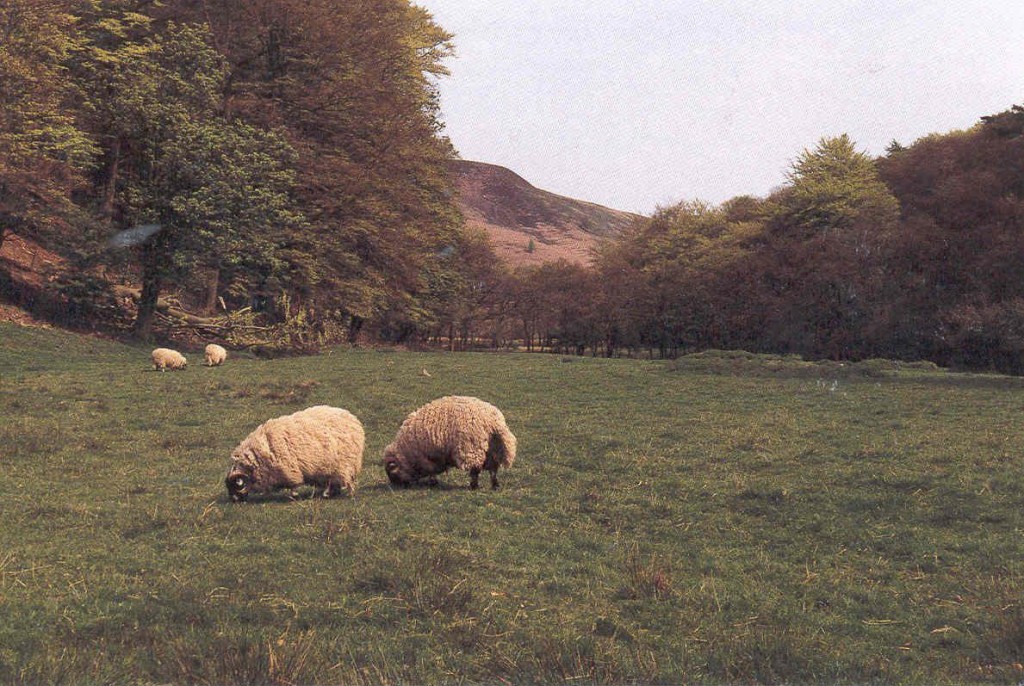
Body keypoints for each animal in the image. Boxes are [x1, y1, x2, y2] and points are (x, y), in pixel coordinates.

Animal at [226, 405, 366, 501]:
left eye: (235, 487)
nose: (234, 501)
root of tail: (354, 420)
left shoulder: (288, 470)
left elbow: (293, 485)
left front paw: (293, 496)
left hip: (344, 464)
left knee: (346, 481)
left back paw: (343, 494)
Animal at [385, 395, 516, 491]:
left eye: (392, 474)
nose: (397, 487)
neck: (407, 452)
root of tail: (493, 421)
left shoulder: (428, 456)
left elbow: (432, 471)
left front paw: (433, 482)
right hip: (494, 448)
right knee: (493, 469)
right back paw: (495, 486)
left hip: (472, 447)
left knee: (475, 469)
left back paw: (473, 486)